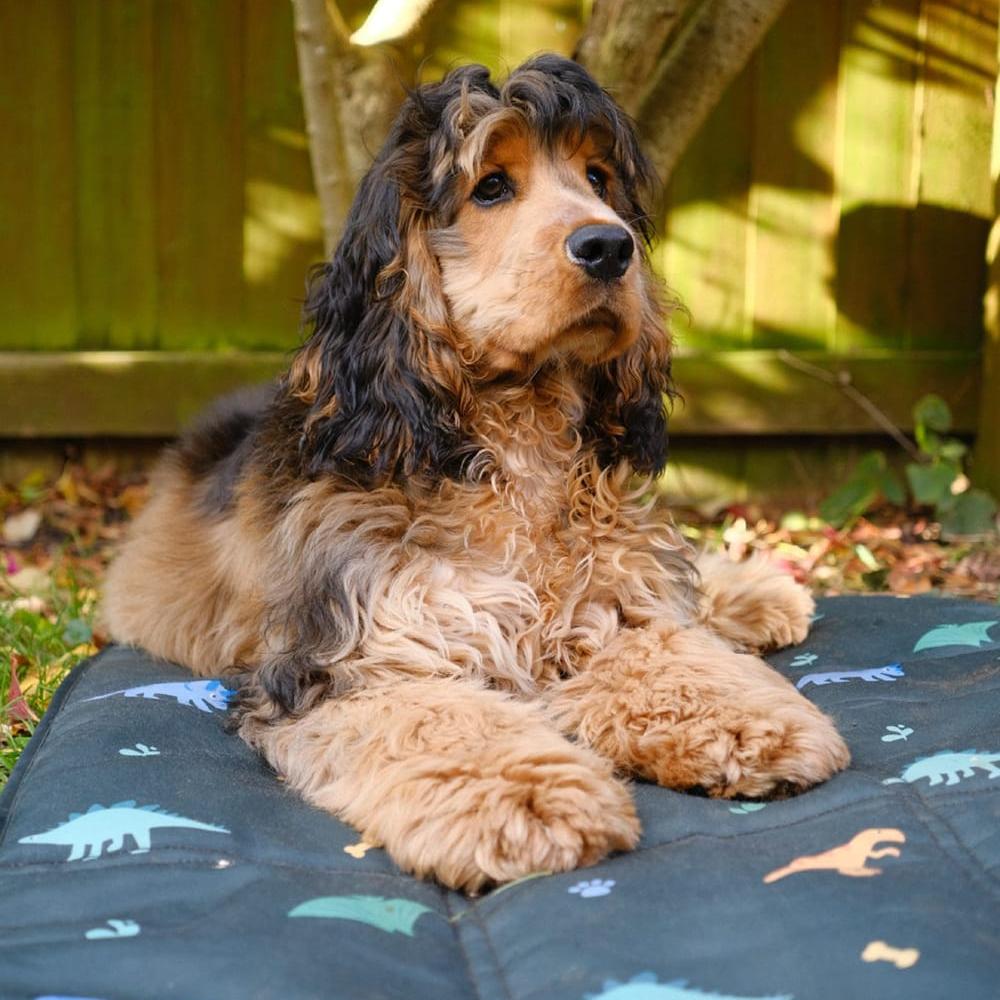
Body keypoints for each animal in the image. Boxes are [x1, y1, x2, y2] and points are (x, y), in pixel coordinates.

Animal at [103, 54, 852, 892]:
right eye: (491, 186)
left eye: (598, 177)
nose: (610, 247)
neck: (514, 449)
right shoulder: (352, 663)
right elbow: (449, 725)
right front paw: (531, 802)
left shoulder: (607, 605)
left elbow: (670, 655)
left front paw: (753, 724)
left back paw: (758, 593)